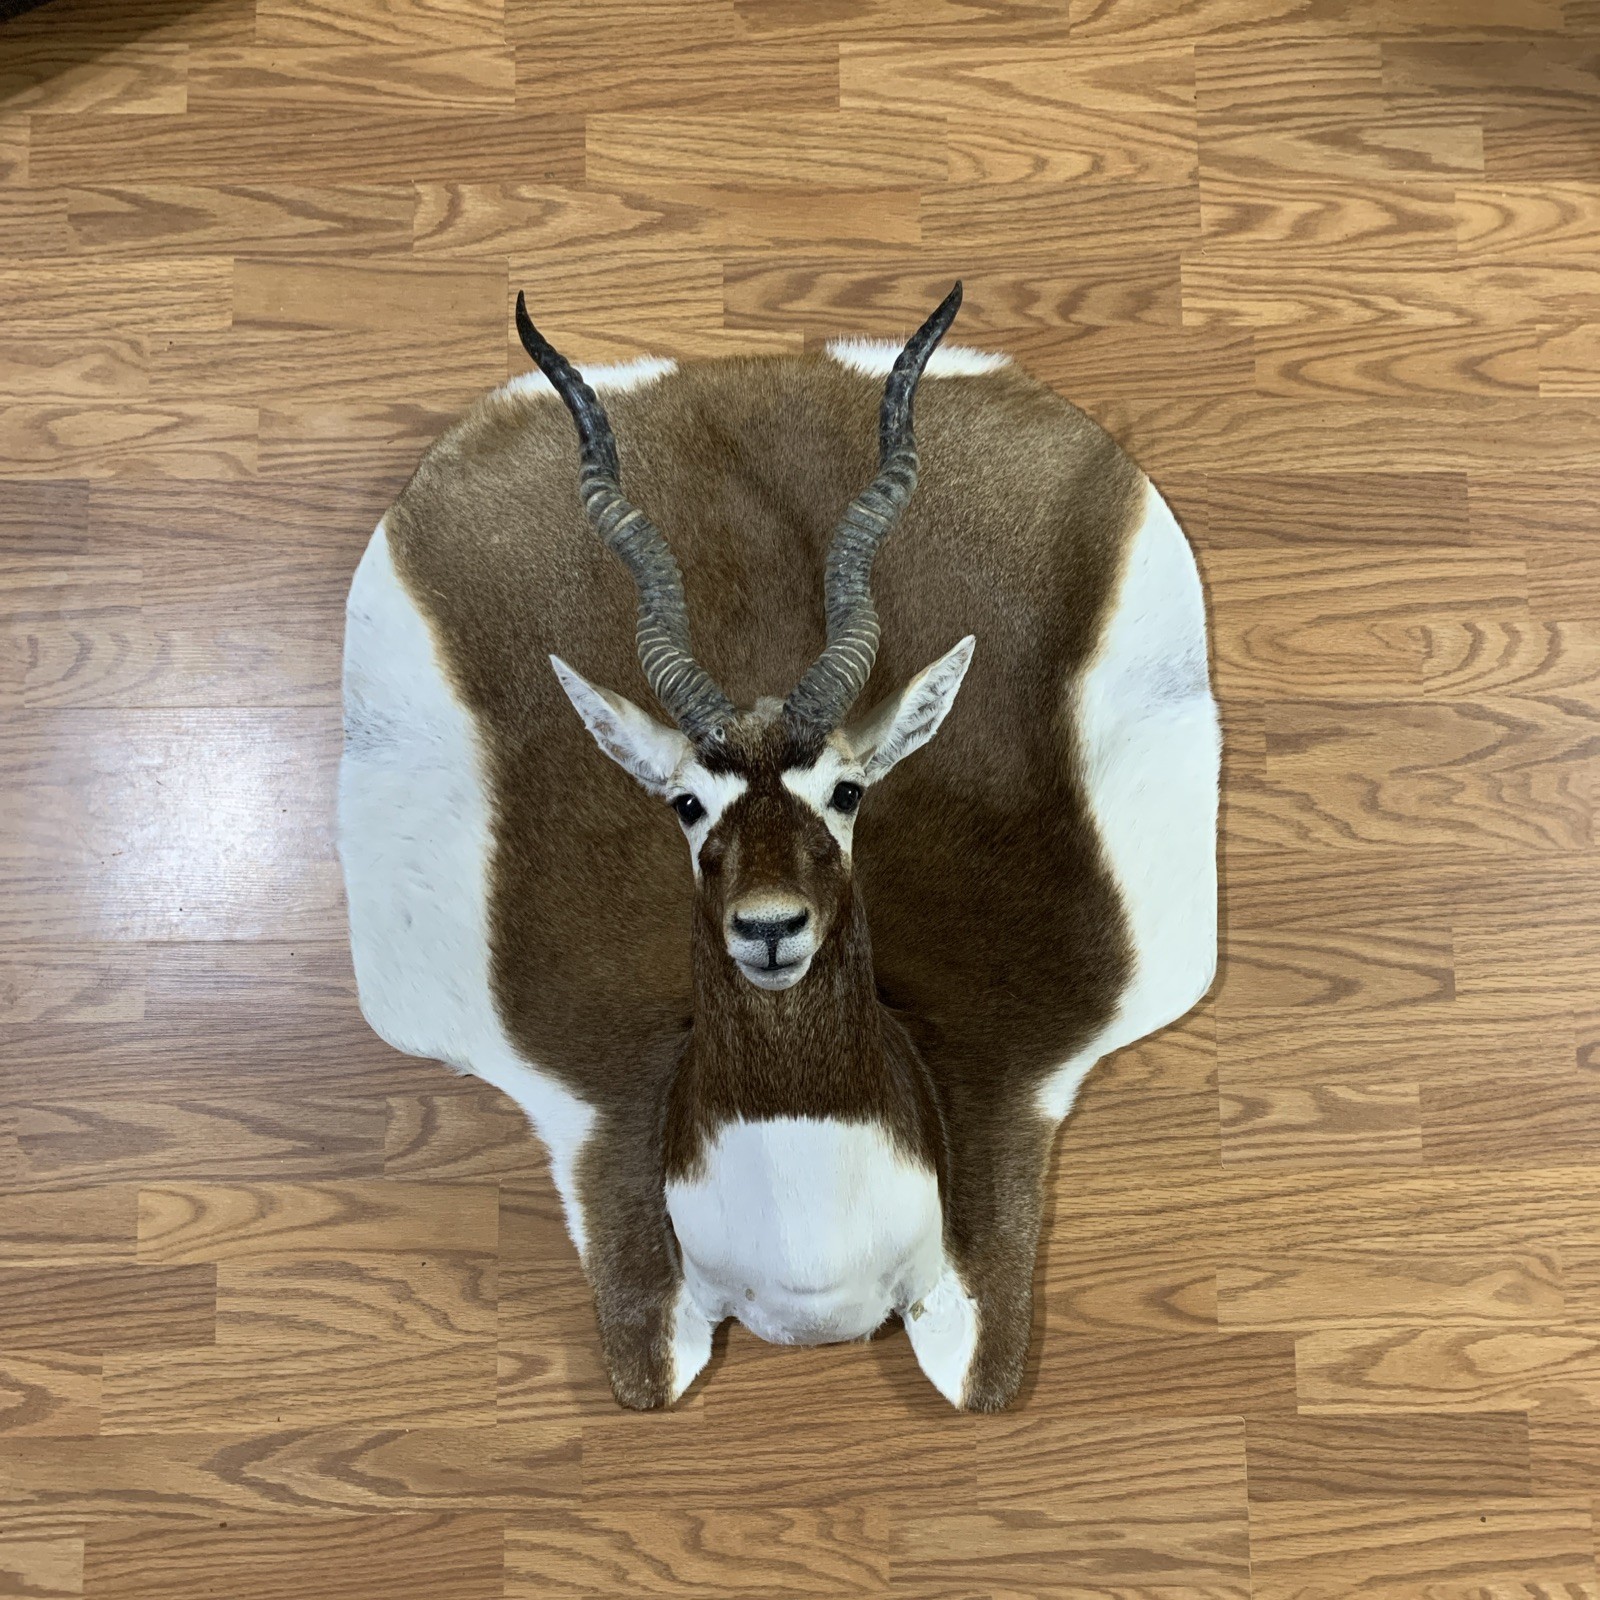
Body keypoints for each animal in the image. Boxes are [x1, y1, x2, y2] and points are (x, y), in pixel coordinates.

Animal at [339, 285, 1219, 1410]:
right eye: (684, 803)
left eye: (845, 791)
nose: (768, 930)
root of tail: (736, 373)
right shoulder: (648, 1336)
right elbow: (649, 1378)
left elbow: (979, 1383)